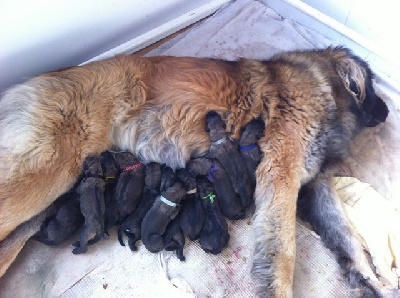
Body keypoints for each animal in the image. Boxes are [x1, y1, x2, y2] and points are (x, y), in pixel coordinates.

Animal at [0, 47, 392, 296]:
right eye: (373, 88)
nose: (388, 110)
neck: (324, 87)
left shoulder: (315, 184)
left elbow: (346, 236)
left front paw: (373, 280)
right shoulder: (281, 176)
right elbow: (283, 254)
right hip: (43, 177)